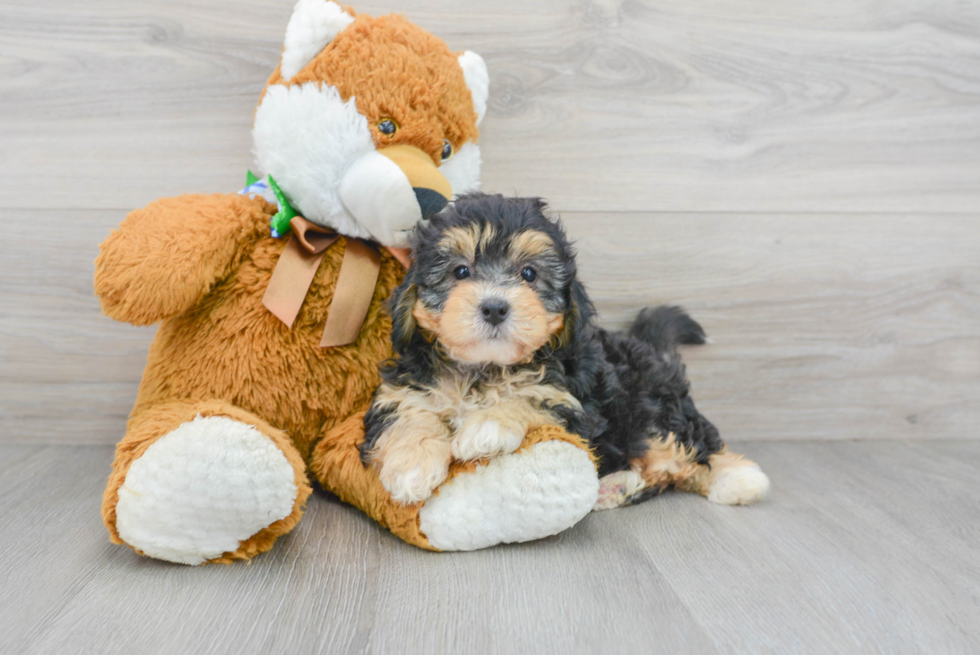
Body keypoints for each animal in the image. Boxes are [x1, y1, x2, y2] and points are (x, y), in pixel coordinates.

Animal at [364, 192, 768, 510]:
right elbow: (409, 417)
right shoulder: (404, 391)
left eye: (529, 274)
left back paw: (737, 477)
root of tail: (651, 351)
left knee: (689, 448)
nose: (494, 307)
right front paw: (411, 467)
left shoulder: (570, 402)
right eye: (460, 271)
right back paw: (616, 487)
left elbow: (527, 398)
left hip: (652, 404)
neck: (485, 368)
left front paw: (487, 428)